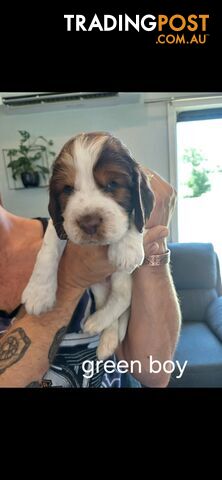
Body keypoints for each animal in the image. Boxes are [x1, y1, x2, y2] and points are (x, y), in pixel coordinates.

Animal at [22, 133, 154, 358]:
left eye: (112, 185)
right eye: (67, 189)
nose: (88, 223)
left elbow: (136, 217)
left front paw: (127, 248)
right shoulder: (60, 222)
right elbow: (48, 248)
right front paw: (38, 293)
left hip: (123, 278)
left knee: (123, 296)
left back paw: (97, 324)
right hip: (97, 285)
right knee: (109, 301)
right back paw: (104, 335)